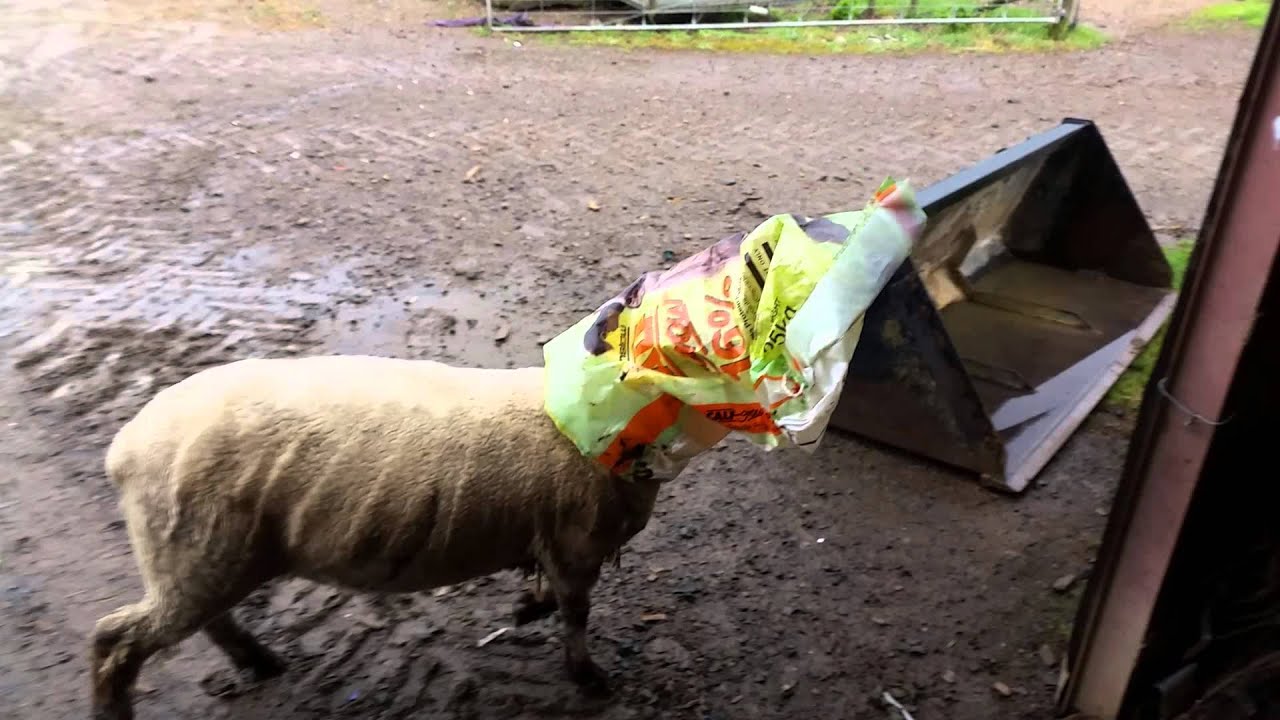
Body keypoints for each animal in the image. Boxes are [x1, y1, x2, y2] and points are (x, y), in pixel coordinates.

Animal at [89, 354, 730, 720]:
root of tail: (123, 451)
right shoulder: (577, 540)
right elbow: (576, 615)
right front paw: (590, 679)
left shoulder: (553, 538)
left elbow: (550, 594)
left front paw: (526, 608)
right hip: (195, 545)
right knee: (114, 639)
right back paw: (112, 710)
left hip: (207, 555)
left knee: (203, 621)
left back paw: (262, 663)